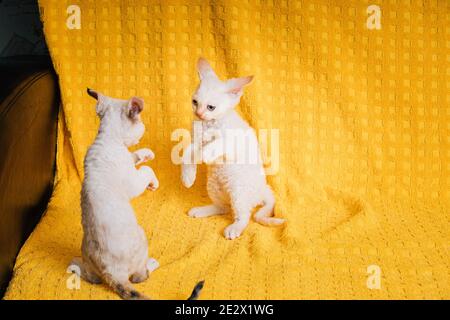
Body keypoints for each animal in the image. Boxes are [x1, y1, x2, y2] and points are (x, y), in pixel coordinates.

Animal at [72, 88, 204, 300]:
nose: (143, 130)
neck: (107, 140)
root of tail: (112, 274)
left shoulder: (128, 159)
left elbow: (135, 156)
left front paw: (146, 153)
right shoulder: (132, 181)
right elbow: (147, 171)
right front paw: (153, 183)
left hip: (90, 262)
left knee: (92, 279)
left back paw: (75, 267)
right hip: (141, 238)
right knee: (139, 278)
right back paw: (152, 263)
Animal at [180, 58, 284, 240]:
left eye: (210, 107)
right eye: (195, 102)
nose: (199, 114)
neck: (209, 124)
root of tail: (264, 189)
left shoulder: (234, 142)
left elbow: (219, 142)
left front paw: (206, 153)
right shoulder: (195, 141)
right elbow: (187, 154)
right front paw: (187, 177)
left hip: (238, 192)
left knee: (244, 216)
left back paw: (235, 228)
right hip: (213, 186)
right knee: (223, 208)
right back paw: (202, 210)